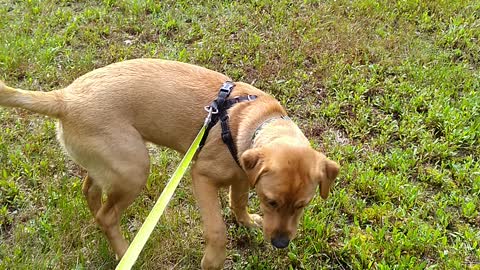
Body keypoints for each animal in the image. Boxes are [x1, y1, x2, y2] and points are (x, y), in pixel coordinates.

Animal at [0, 59, 340, 270]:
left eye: (302, 205)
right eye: (271, 202)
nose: (281, 243)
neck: (253, 122)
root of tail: (64, 99)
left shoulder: (244, 174)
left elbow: (239, 200)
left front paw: (246, 220)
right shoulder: (201, 176)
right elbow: (217, 228)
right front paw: (213, 260)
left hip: (112, 163)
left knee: (91, 192)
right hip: (135, 168)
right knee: (108, 215)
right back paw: (126, 252)